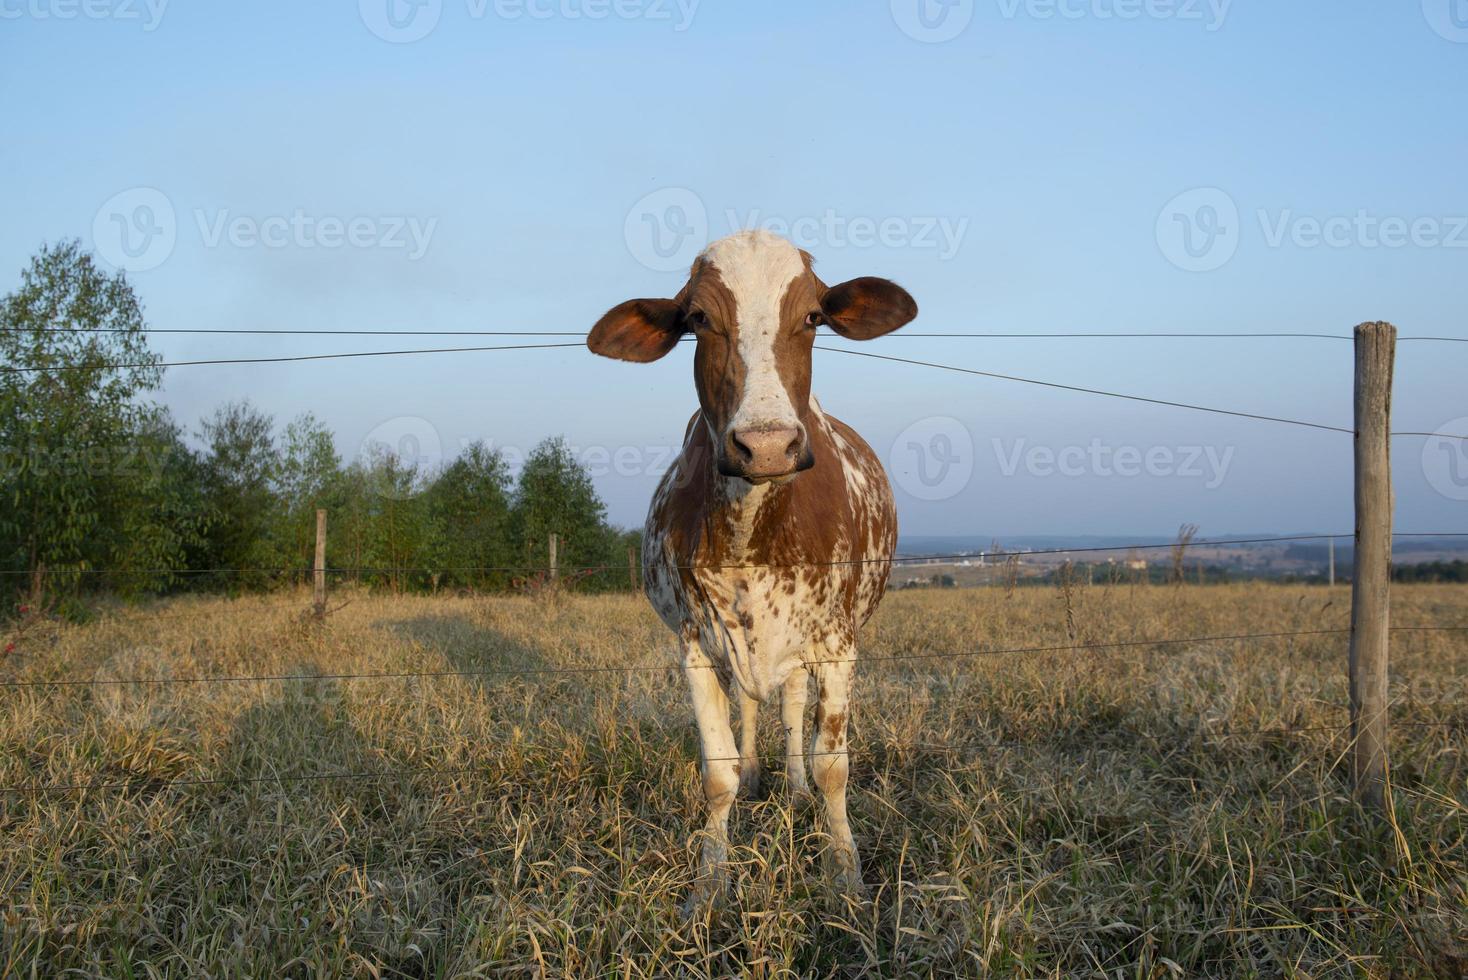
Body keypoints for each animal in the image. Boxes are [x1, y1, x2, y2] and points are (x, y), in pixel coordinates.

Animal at [587, 230, 916, 903]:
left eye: (813, 317)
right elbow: (719, 773)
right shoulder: (695, 643)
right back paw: (762, 774)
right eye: (698, 319)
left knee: (790, 709)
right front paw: (709, 883)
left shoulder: (837, 644)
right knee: (752, 705)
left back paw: (792, 786)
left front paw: (845, 873)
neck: (750, 534)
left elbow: (832, 765)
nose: (766, 445)